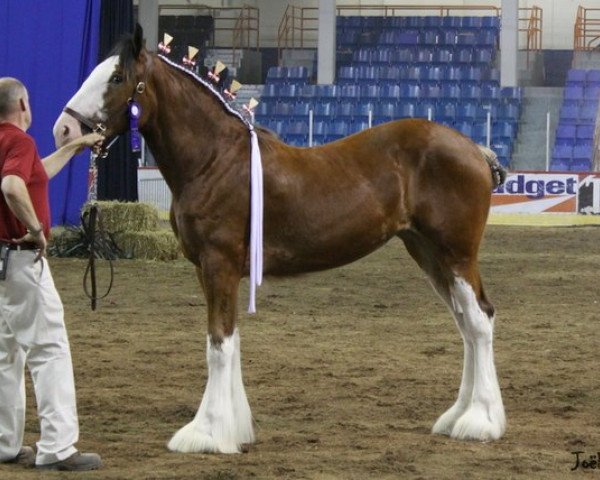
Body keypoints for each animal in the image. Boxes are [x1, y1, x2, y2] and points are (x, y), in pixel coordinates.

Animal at [54, 26, 506, 454]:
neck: (214, 161)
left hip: (456, 255)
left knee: (479, 321)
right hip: (428, 254)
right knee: (466, 325)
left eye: (116, 77)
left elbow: (218, 344)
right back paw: (458, 417)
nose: (65, 129)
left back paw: (480, 422)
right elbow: (230, 340)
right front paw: (234, 428)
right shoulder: (208, 270)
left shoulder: (219, 264)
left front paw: (205, 433)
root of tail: (475, 149)